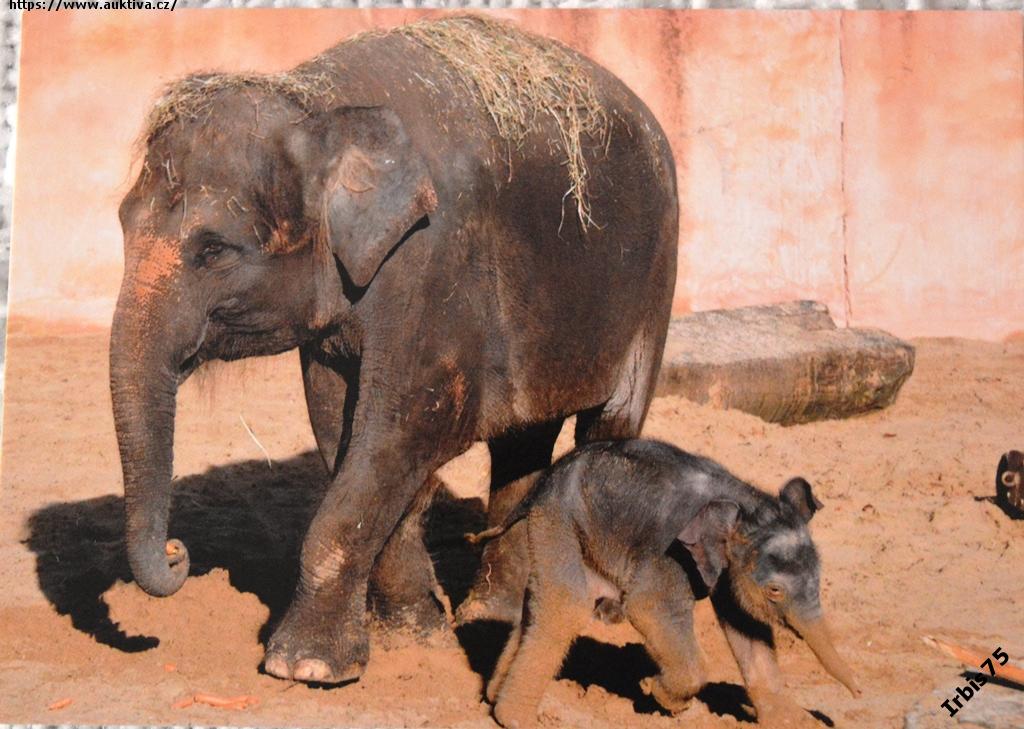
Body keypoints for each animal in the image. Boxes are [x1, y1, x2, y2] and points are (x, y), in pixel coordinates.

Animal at [112, 18, 675, 688]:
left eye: (214, 251)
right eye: (121, 223)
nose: (179, 554)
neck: (318, 101)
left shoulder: (434, 259)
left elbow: (410, 424)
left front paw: (304, 667)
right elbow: (342, 425)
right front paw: (416, 635)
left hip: (654, 277)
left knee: (608, 428)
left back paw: (591, 609)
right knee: (523, 442)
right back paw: (490, 615)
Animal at [473, 438, 864, 729]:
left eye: (819, 578)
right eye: (775, 590)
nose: (859, 693)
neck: (745, 500)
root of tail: (545, 479)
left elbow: (747, 627)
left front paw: (792, 723)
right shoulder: (670, 550)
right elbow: (647, 606)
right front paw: (656, 692)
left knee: (538, 605)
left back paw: (493, 697)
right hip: (559, 520)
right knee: (567, 605)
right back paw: (518, 719)